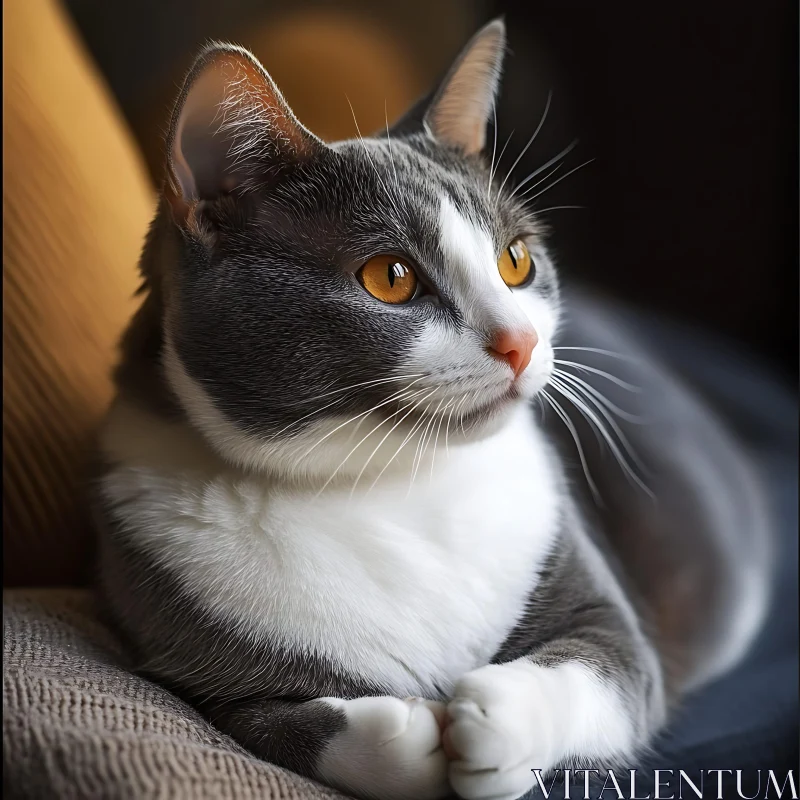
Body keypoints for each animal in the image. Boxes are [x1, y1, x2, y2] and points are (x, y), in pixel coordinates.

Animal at [90, 18, 772, 800]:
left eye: (515, 261)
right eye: (390, 277)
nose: (521, 341)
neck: (389, 483)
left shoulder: (600, 602)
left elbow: (606, 665)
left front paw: (496, 721)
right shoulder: (182, 644)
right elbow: (266, 723)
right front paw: (404, 735)